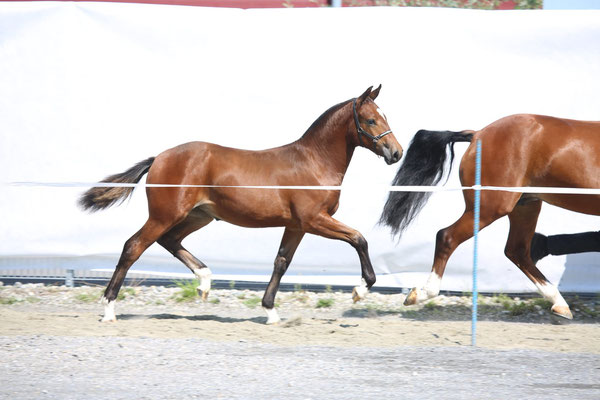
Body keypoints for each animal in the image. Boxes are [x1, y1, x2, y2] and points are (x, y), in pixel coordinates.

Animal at [78, 86, 398, 324]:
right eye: (370, 120)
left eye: (384, 116)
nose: (395, 152)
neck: (313, 162)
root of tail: (159, 158)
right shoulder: (314, 220)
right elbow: (358, 238)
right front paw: (360, 290)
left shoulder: (296, 225)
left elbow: (281, 262)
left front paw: (270, 311)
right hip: (165, 215)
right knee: (133, 247)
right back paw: (109, 309)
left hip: (198, 216)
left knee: (170, 241)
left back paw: (204, 282)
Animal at [382, 113, 596, 318]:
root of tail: (478, 134)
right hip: (491, 206)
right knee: (446, 237)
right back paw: (421, 294)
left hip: (525, 205)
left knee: (517, 250)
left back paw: (560, 304)